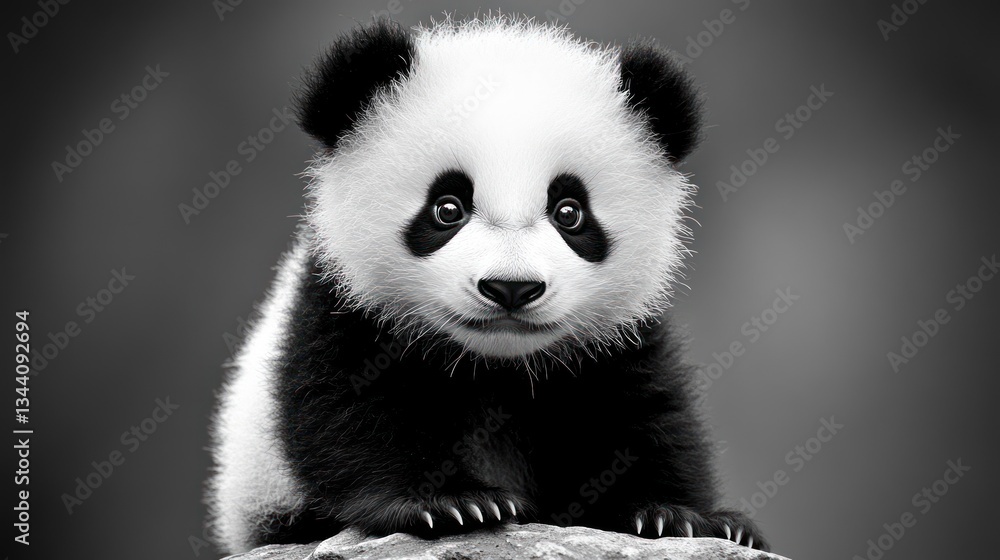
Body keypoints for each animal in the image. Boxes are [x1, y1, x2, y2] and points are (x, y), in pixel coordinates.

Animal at [207, 15, 769, 555]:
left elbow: (648, 415)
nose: (511, 288)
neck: (496, 364)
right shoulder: (343, 307)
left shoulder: (616, 341)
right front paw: (449, 504)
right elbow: (346, 407)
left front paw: (675, 515)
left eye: (570, 212)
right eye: (447, 207)